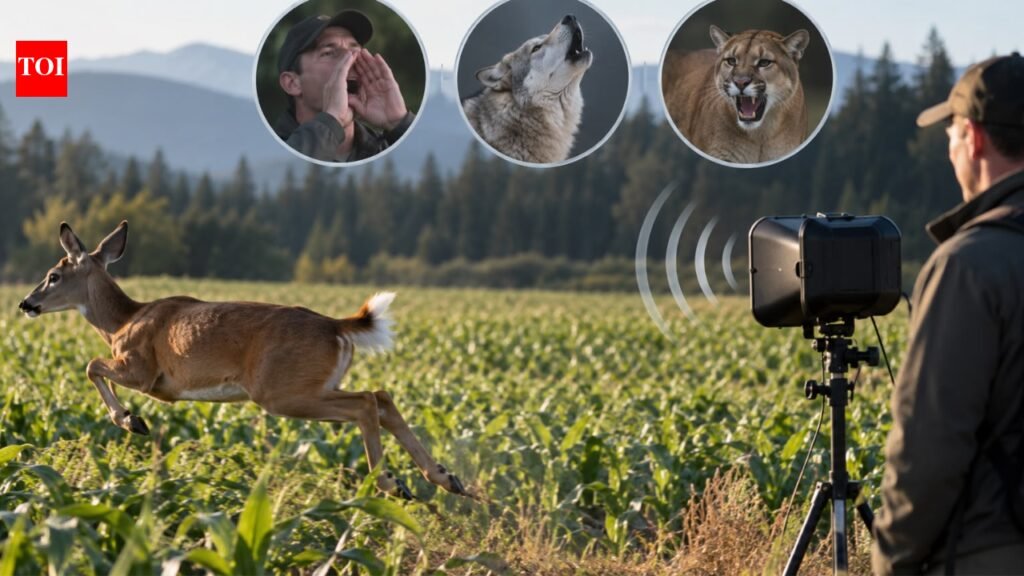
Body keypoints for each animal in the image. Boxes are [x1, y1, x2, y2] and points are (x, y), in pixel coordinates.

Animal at [17, 221, 466, 500]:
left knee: (366, 403)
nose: (26, 303)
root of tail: (336, 327)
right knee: (382, 396)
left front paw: (131, 420)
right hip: (316, 382)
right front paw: (132, 419)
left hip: (281, 391)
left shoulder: (145, 371)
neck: (121, 322)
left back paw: (391, 483)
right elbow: (93, 366)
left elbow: (92, 365)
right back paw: (445, 479)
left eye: (53, 275)